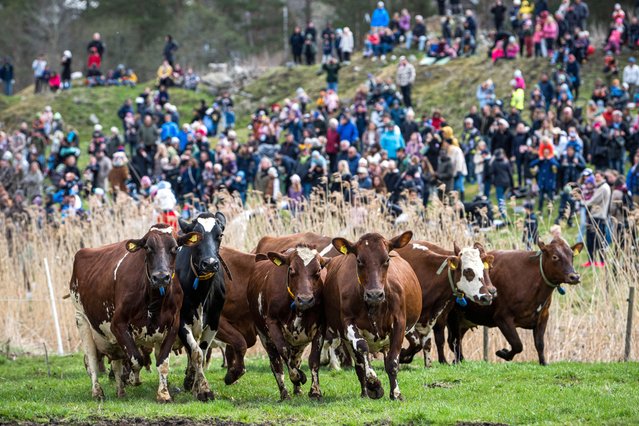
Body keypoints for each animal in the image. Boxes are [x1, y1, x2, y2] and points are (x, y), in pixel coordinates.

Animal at [69, 225, 201, 402]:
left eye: (175, 248)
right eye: (148, 248)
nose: (161, 277)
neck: (153, 299)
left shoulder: (172, 326)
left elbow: (162, 363)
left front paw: (163, 394)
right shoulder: (117, 324)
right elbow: (136, 359)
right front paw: (133, 378)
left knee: (116, 362)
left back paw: (120, 390)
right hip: (81, 319)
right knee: (92, 362)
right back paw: (97, 391)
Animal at [249, 246, 332, 400]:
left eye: (318, 271)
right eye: (292, 269)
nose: (305, 300)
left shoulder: (320, 326)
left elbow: (313, 359)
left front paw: (315, 391)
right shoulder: (272, 324)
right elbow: (284, 352)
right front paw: (298, 376)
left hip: (298, 343)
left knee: (296, 360)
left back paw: (297, 390)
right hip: (264, 337)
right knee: (276, 364)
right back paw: (285, 393)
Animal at [322, 231, 422, 402]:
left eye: (387, 260)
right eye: (359, 260)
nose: (375, 294)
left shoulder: (400, 323)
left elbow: (392, 362)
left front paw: (396, 393)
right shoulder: (348, 322)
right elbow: (362, 349)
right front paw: (374, 383)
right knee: (359, 364)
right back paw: (365, 391)